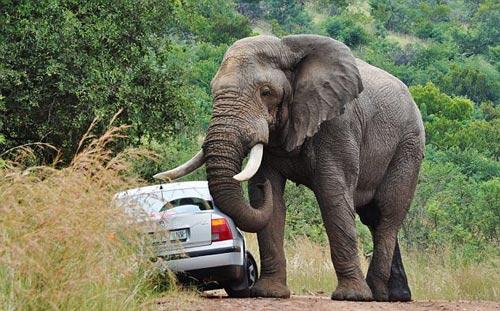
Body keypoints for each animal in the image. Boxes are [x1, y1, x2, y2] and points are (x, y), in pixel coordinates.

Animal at [155, 34, 422, 304]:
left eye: (265, 92)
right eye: (213, 91)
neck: (286, 47)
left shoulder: (338, 124)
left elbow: (332, 195)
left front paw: (352, 297)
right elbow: (269, 198)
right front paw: (269, 293)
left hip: (408, 146)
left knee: (388, 212)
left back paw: (376, 293)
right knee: (373, 218)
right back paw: (395, 296)